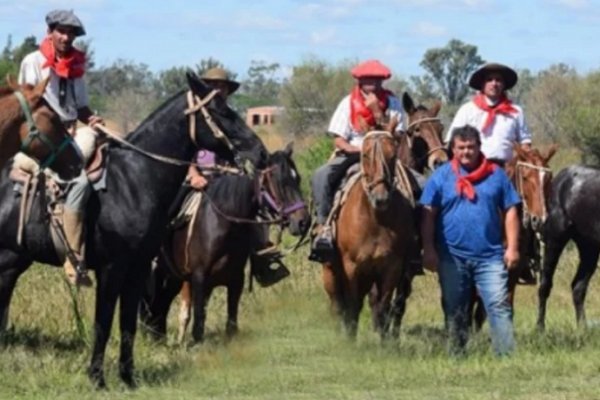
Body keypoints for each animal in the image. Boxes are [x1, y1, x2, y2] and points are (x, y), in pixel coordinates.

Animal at [0, 72, 268, 388]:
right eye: (222, 111)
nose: (260, 152)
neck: (134, 181)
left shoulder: (138, 267)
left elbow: (128, 323)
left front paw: (128, 377)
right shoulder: (112, 268)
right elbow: (103, 322)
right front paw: (97, 378)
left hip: (13, 262)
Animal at [140, 144, 310, 344]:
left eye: (297, 178)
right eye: (280, 181)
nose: (303, 222)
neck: (222, 222)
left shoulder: (235, 279)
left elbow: (231, 324)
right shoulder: (199, 278)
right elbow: (198, 324)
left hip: (173, 278)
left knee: (160, 306)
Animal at [536, 164, 600, 330]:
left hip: (589, 249)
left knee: (578, 287)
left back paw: (582, 328)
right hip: (555, 239)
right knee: (545, 284)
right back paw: (540, 327)